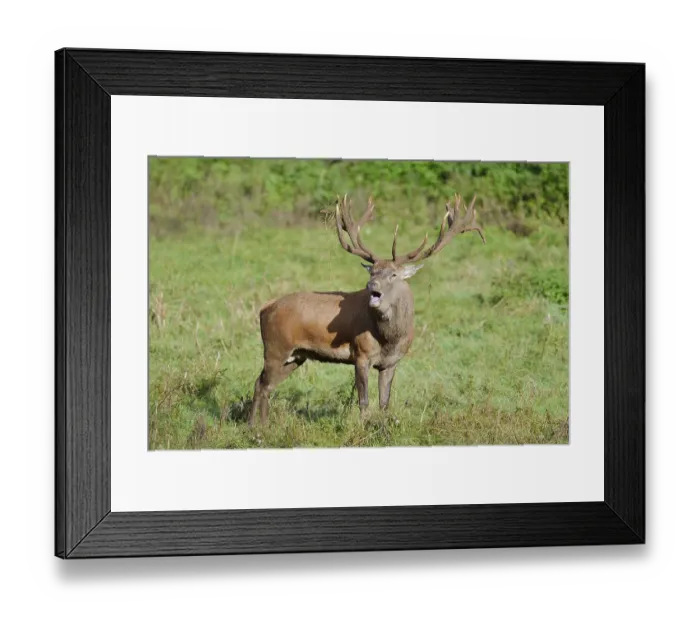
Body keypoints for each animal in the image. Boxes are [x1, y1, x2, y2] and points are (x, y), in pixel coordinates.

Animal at [248, 193, 485, 426]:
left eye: (393, 274)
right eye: (372, 272)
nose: (372, 285)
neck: (390, 339)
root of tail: (265, 308)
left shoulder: (391, 362)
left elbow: (384, 402)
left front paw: (383, 427)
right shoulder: (361, 354)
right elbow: (363, 401)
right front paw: (362, 429)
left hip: (296, 355)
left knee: (265, 384)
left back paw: (261, 427)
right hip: (276, 347)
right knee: (261, 383)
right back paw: (255, 428)